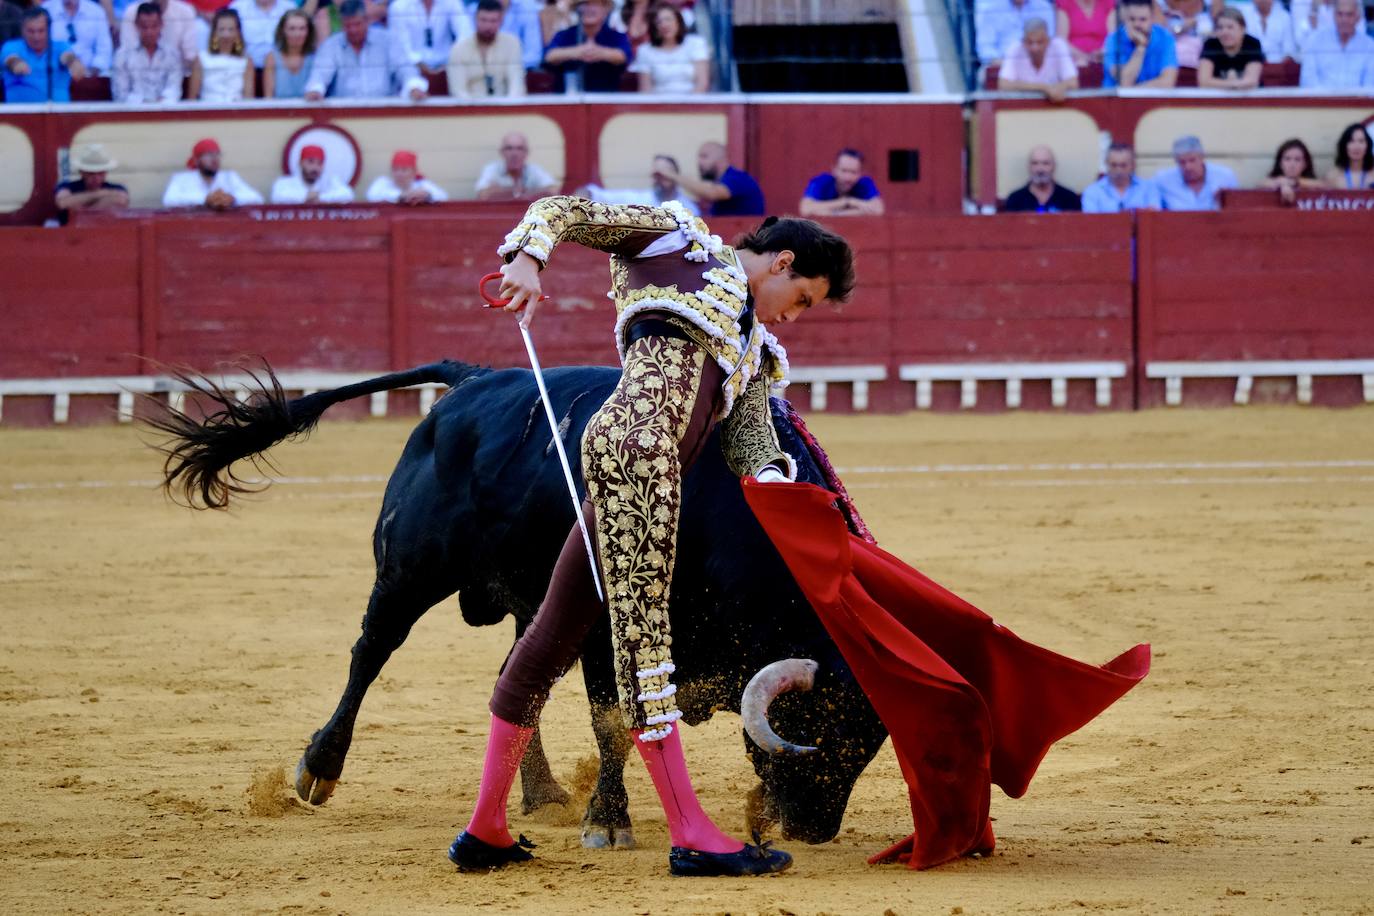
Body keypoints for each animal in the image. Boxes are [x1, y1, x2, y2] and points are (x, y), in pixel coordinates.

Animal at [153, 362, 890, 851]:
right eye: (814, 727)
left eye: (868, 746)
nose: (816, 828)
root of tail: (472, 380)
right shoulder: (602, 630)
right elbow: (612, 722)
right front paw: (609, 822)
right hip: (409, 571)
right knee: (371, 651)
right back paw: (319, 768)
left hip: (532, 601)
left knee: (517, 677)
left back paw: (538, 794)